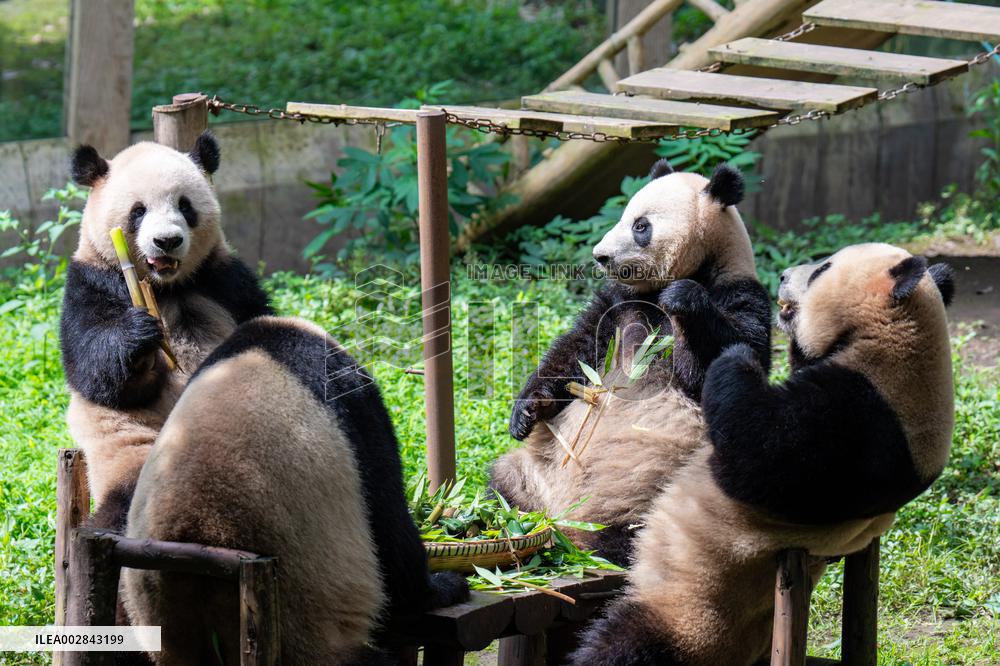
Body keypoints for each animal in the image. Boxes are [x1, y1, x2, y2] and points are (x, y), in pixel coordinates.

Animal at [60, 133, 271, 531]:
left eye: (185, 206)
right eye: (138, 211)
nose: (167, 241)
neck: (165, 287)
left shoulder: (225, 281)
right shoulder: (91, 282)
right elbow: (94, 373)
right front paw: (140, 338)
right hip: (132, 450)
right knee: (125, 497)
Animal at [489, 160, 771, 564]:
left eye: (641, 226)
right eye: (624, 216)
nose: (600, 255)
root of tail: (564, 522)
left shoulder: (742, 298)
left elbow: (716, 370)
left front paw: (684, 298)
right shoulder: (616, 303)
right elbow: (577, 350)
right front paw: (524, 412)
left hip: (651, 493)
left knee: (644, 534)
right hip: (531, 470)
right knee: (501, 482)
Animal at [570, 243, 955, 665]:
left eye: (821, 270)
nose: (783, 276)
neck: (899, 341)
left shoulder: (861, 420)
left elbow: (755, 454)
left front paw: (736, 356)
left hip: (693, 615)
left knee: (623, 644)